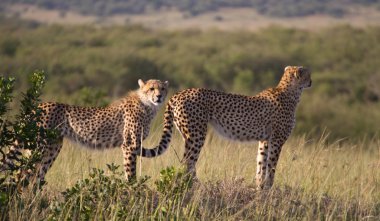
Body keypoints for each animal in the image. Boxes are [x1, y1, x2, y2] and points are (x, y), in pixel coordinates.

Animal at [2, 79, 168, 183]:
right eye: (152, 88)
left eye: (163, 88)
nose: (159, 96)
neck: (147, 105)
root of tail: (39, 106)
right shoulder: (129, 145)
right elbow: (130, 171)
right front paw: (132, 188)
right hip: (39, 147)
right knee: (21, 174)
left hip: (52, 147)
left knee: (36, 175)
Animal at [138, 66, 310, 189]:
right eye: (308, 75)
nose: (311, 81)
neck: (289, 91)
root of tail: (178, 93)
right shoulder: (277, 141)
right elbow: (272, 166)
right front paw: (269, 187)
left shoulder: (264, 140)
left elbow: (261, 164)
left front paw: (260, 187)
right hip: (197, 134)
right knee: (187, 162)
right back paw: (196, 186)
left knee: (187, 162)